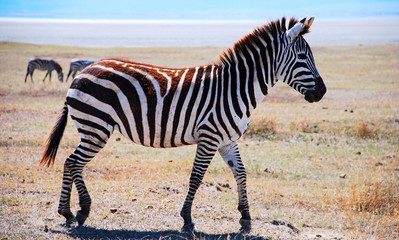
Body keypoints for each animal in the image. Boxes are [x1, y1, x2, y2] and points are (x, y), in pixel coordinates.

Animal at [39, 16, 328, 232]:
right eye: (303, 57)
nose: (322, 92)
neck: (235, 88)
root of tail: (82, 73)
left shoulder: (228, 140)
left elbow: (241, 173)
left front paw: (245, 217)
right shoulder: (209, 137)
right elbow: (196, 177)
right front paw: (187, 219)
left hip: (93, 128)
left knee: (73, 163)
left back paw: (74, 211)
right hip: (95, 126)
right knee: (73, 162)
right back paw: (74, 211)